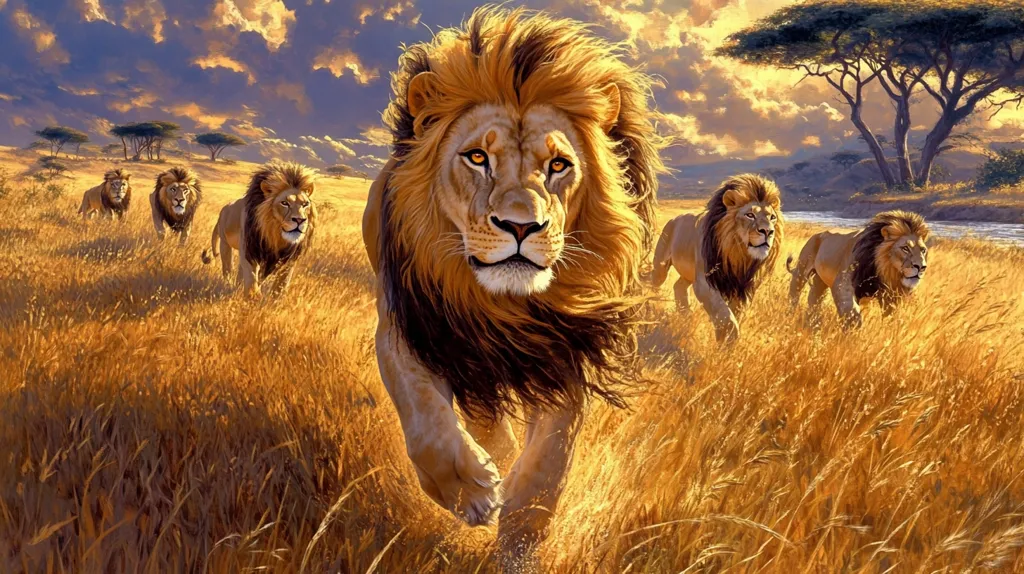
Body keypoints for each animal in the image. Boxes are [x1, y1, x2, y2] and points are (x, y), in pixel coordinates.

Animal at [201, 162, 317, 298]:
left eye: (305, 204)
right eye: (284, 203)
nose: (300, 220)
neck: (275, 234)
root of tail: (224, 209)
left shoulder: (289, 258)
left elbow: (280, 285)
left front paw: (272, 301)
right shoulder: (250, 250)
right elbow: (251, 279)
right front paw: (253, 298)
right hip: (225, 243)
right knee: (227, 268)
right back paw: (229, 286)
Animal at [361, 6, 665, 567]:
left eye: (559, 164)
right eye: (477, 158)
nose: (522, 226)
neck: (504, 308)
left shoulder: (564, 350)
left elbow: (548, 464)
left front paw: (519, 541)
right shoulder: (407, 325)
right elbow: (426, 420)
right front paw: (470, 491)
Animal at [651, 174, 784, 342]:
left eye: (772, 217)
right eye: (750, 215)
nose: (768, 231)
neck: (738, 255)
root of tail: (674, 219)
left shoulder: (744, 287)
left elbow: (735, 314)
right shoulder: (704, 282)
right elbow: (725, 315)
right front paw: (728, 338)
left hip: (688, 274)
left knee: (678, 286)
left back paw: (686, 314)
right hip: (660, 267)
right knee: (652, 281)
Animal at [788, 209, 929, 328]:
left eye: (923, 250)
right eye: (905, 248)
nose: (921, 267)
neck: (879, 269)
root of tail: (816, 235)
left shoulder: (888, 295)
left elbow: (890, 316)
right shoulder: (842, 284)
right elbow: (851, 311)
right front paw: (853, 331)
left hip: (820, 281)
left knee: (814, 299)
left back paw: (813, 322)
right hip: (801, 271)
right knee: (794, 296)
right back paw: (790, 316)